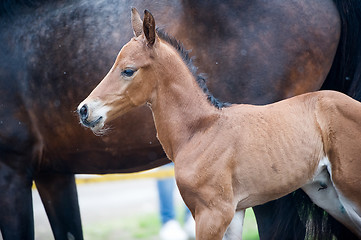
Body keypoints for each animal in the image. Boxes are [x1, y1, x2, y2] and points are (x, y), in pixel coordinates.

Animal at [79, 8, 360, 238]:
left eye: (128, 70)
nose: (84, 110)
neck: (200, 131)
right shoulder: (233, 215)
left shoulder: (213, 214)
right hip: (329, 195)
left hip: (350, 188)